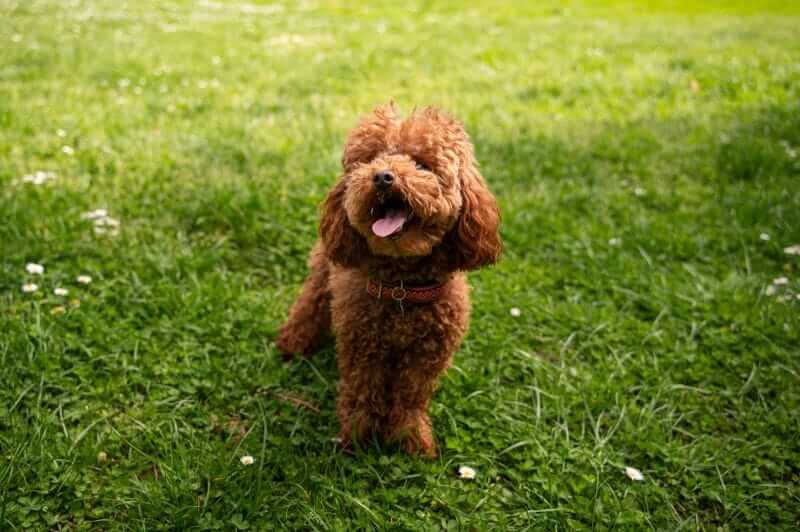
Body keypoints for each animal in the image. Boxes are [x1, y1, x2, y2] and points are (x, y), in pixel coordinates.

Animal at [276, 105, 500, 458]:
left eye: (422, 164)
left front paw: (410, 439)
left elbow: (410, 398)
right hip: (323, 270)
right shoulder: (363, 345)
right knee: (308, 306)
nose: (382, 176)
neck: (402, 289)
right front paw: (358, 438)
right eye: (371, 160)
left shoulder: (427, 355)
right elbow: (362, 393)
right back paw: (293, 344)